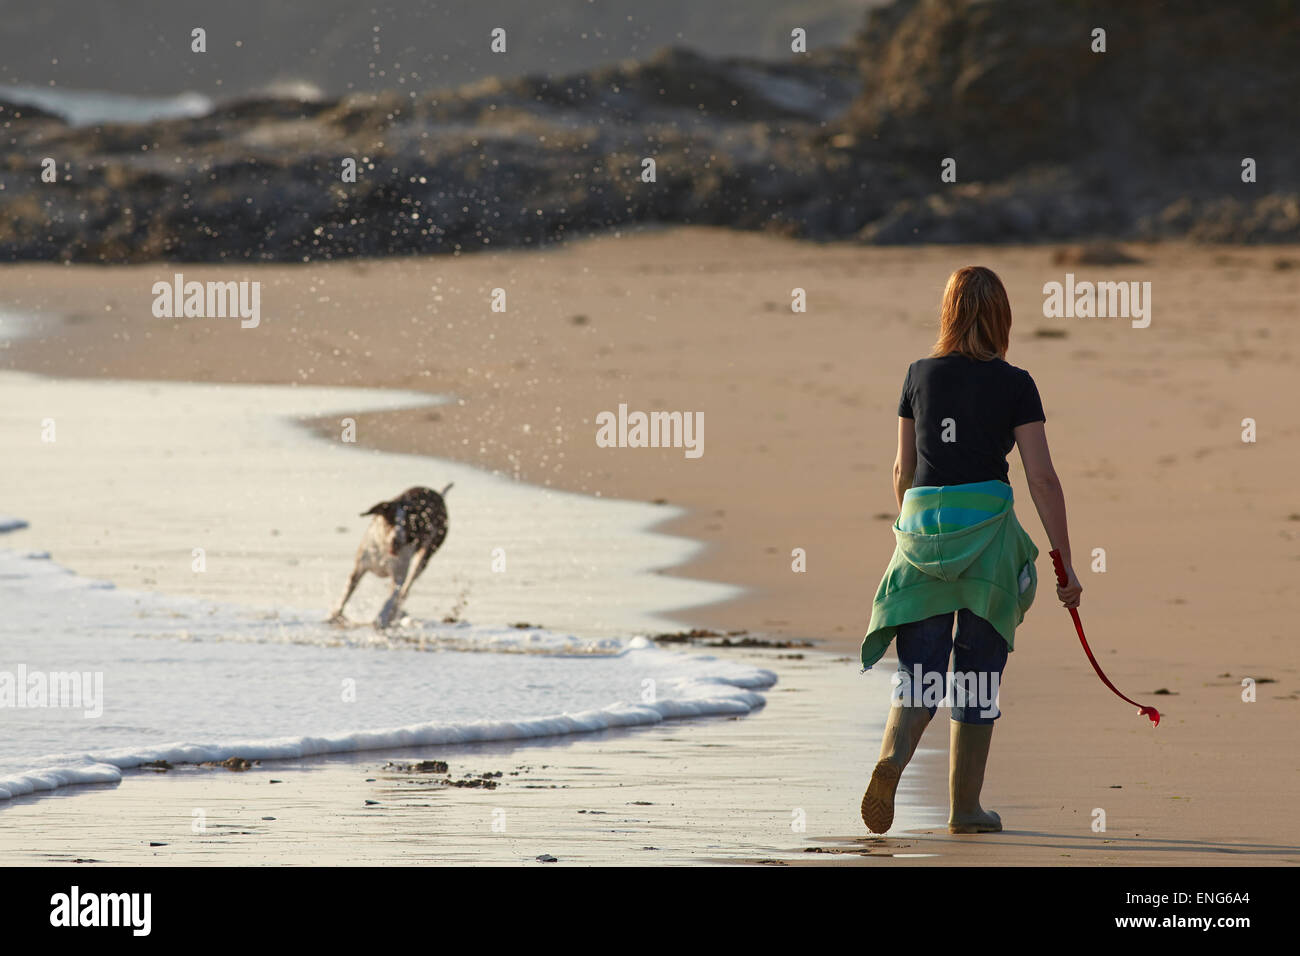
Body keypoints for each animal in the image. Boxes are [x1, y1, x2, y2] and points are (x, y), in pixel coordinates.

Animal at [330, 486, 452, 629]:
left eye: (408, 524)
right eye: (390, 521)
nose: (396, 540)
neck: (384, 550)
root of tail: (438, 494)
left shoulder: (398, 576)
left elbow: (391, 598)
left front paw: (381, 618)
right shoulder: (360, 567)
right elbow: (347, 591)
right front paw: (335, 614)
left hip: (424, 557)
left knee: (405, 590)